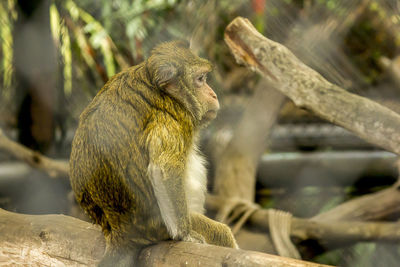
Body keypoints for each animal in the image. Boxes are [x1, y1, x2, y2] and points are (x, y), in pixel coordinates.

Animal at [69, 40, 238, 266]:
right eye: (200, 80)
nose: (214, 94)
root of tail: (118, 229)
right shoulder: (174, 115)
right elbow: (164, 170)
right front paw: (185, 234)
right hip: (158, 228)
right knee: (221, 233)